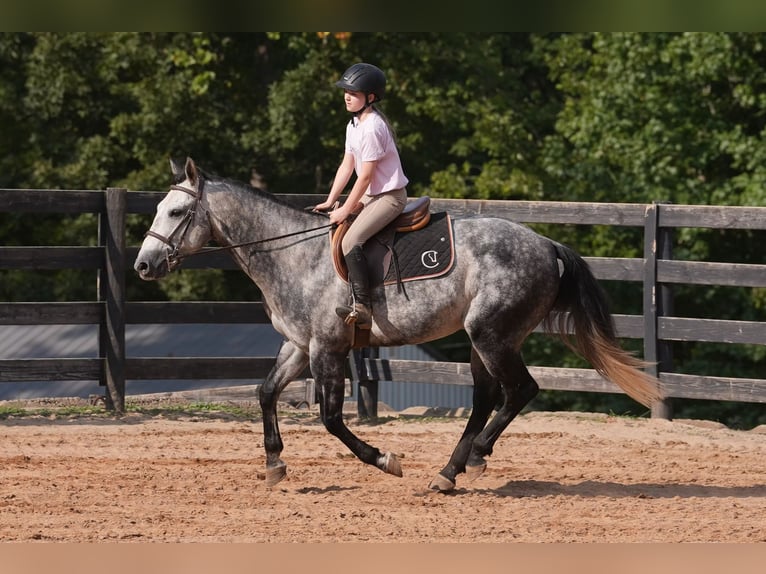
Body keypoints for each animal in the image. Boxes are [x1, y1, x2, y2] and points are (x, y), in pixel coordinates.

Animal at [134, 157, 664, 492]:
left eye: (176, 211)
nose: (143, 265)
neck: (293, 254)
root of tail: (546, 244)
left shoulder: (328, 347)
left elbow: (331, 419)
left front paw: (384, 460)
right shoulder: (300, 345)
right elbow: (266, 394)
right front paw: (274, 464)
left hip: (492, 335)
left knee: (520, 391)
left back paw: (472, 458)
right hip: (483, 340)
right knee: (486, 397)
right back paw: (451, 471)